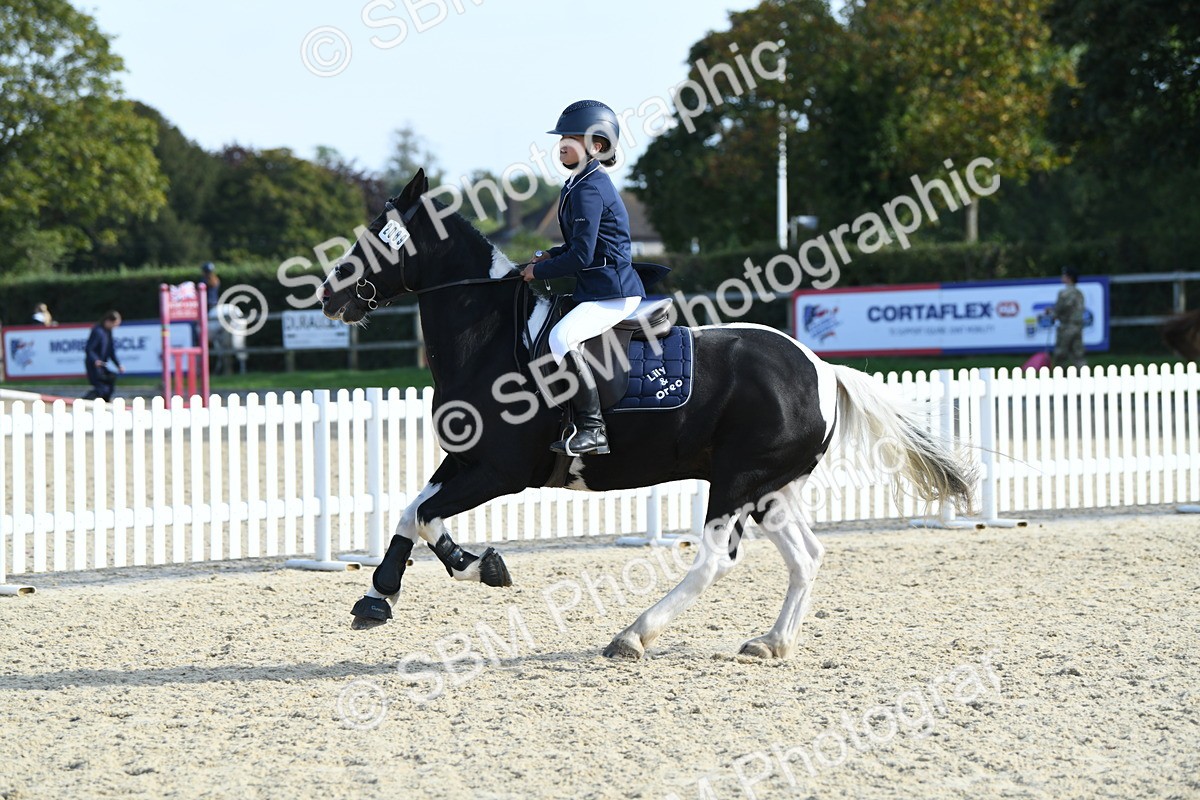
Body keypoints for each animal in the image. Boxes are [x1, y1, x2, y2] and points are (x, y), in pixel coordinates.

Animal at [319, 169, 974, 660]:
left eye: (376, 239)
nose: (327, 293)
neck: (488, 337)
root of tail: (820, 366)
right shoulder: (464, 458)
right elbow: (412, 509)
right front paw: (379, 595)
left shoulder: (501, 472)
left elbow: (430, 517)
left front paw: (479, 566)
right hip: (769, 487)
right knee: (805, 556)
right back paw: (772, 642)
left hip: (737, 481)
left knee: (714, 559)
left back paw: (634, 635)